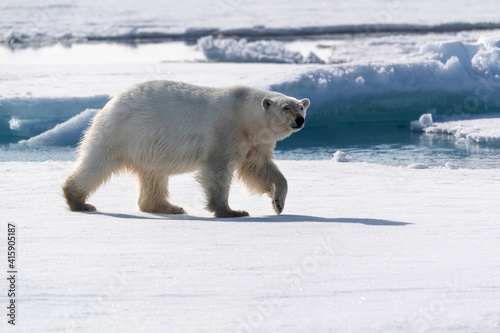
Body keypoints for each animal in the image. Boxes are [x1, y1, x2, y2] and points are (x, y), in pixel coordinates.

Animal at [62, 79, 308, 217]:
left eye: (301, 107)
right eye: (285, 107)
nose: (299, 120)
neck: (245, 115)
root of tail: (111, 103)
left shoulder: (254, 143)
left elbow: (259, 169)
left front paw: (278, 203)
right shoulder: (226, 131)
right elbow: (218, 171)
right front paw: (231, 211)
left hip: (148, 146)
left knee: (153, 176)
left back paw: (168, 207)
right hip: (123, 132)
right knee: (97, 164)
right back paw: (79, 201)